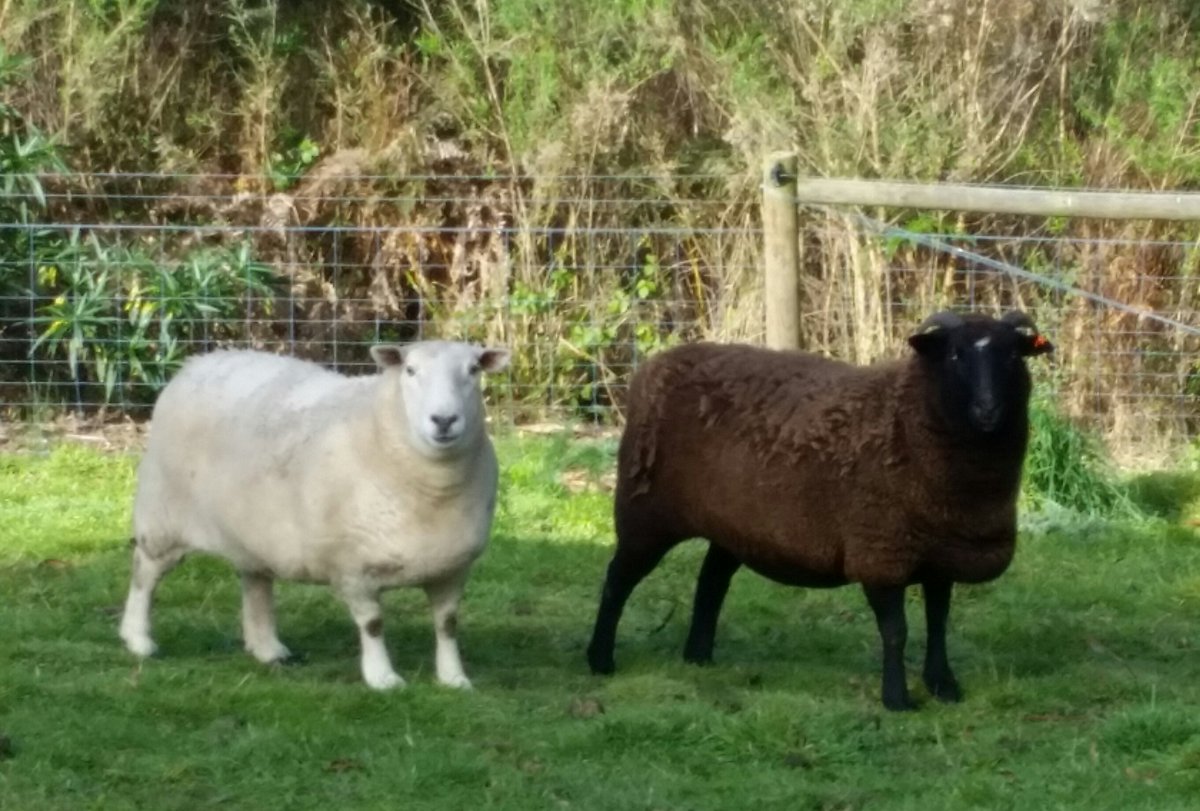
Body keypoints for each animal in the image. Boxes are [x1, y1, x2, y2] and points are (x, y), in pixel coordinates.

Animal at [118, 340, 510, 690]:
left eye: (473, 370)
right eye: (410, 370)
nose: (444, 420)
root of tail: (198, 361)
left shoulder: (453, 568)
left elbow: (447, 626)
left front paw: (454, 678)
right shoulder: (354, 567)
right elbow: (373, 626)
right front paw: (382, 678)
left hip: (254, 530)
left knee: (255, 581)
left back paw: (267, 648)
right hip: (162, 517)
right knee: (144, 576)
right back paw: (138, 639)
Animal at [586, 311, 1053, 710]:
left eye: (1012, 355)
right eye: (956, 355)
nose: (988, 410)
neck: (908, 418)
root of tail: (654, 366)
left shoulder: (941, 552)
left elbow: (938, 624)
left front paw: (944, 686)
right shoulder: (879, 551)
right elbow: (896, 632)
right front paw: (897, 698)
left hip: (733, 525)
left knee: (711, 581)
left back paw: (698, 656)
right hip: (646, 513)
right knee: (617, 581)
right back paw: (600, 659)